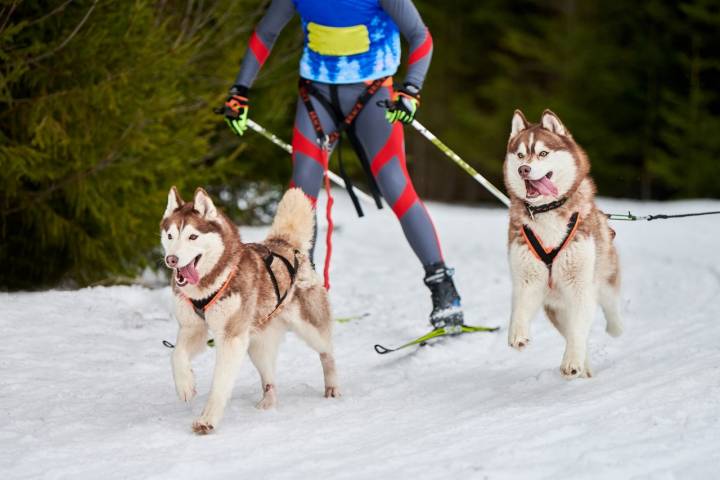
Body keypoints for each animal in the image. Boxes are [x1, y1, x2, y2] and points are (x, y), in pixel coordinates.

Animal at [160, 186, 338, 434]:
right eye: (170, 236)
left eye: (192, 237)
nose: (172, 259)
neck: (210, 285)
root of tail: (283, 242)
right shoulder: (193, 328)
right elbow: (176, 354)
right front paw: (185, 384)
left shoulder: (231, 339)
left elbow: (220, 384)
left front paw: (207, 419)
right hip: (257, 344)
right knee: (269, 379)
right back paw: (268, 402)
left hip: (310, 328)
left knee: (327, 353)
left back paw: (332, 387)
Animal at [504, 109, 620, 378]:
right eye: (520, 155)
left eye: (543, 153)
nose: (524, 169)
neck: (547, 211)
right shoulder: (527, 278)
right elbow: (520, 307)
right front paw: (518, 334)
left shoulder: (581, 285)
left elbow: (578, 330)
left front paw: (572, 361)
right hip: (555, 309)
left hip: (603, 277)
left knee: (609, 306)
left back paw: (614, 329)